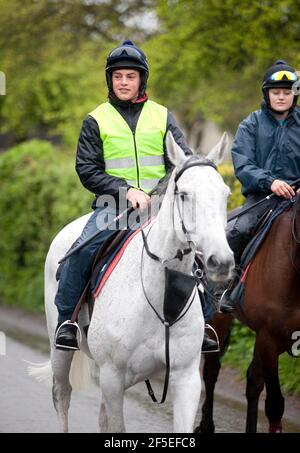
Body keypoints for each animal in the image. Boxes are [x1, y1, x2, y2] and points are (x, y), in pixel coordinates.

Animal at [28, 131, 234, 430]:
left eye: (225, 195)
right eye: (184, 195)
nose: (221, 261)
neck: (161, 301)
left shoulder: (186, 379)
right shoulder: (112, 377)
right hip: (63, 353)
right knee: (62, 395)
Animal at [196, 196, 300, 432]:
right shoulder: (269, 338)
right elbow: (274, 405)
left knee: (253, 382)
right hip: (220, 321)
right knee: (211, 372)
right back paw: (206, 425)